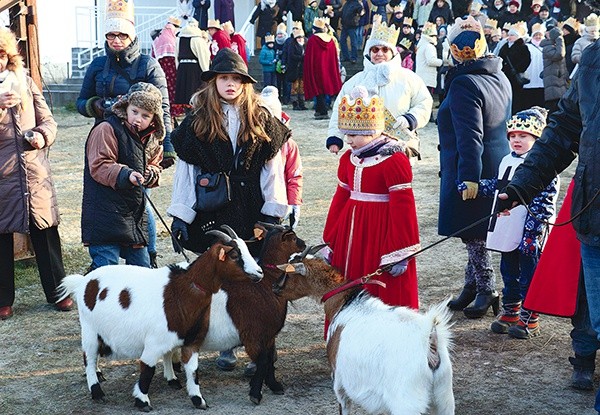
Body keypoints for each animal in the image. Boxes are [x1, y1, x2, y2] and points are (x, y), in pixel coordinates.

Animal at [56, 228, 262, 412]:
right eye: (234, 254)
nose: (259, 273)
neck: (180, 292)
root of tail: (83, 282)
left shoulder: (190, 341)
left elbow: (192, 370)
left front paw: (198, 400)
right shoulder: (153, 343)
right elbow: (147, 370)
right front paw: (142, 401)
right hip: (89, 330)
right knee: (88, 358)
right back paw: (97, 391)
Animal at [274, 258, 454, 414]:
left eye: (288, 273)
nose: (275, 288)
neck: (345, 303)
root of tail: (430, 341)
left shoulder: (339, 381)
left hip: (406, 401)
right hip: (443, 396)